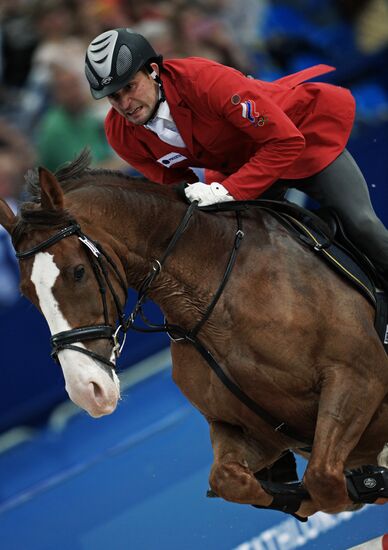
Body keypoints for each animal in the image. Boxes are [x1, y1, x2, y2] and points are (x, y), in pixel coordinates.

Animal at [0, 152, 388, 520]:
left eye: (78, 271)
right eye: (26, 294)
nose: (86, 391)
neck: (212, 302)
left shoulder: (358, 378)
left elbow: (322, 477)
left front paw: (363, 485)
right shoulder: (249, 430)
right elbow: (231, 479)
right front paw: (303, 498)